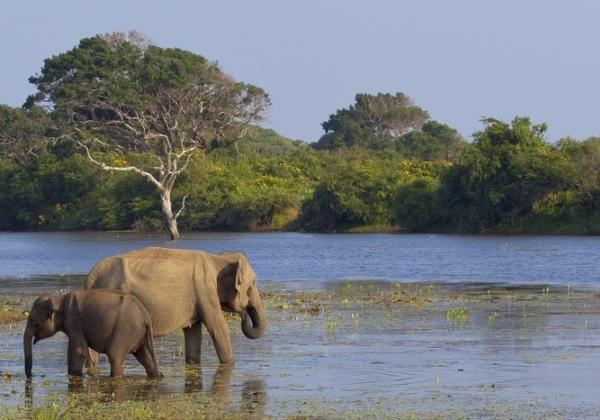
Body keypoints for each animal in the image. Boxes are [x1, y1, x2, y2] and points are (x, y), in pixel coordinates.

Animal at [24, 288, 159, 378]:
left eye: (33, 321)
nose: (32, 375)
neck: (59, 298)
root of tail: (146, 316)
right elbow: (71, 350)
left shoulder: (74, 320)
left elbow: (79, 351)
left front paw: (77, 375)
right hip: (140, 334)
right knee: (146, 358)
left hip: (126, 329)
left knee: (114, 354)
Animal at [83, 246, 266, 364]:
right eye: (253, 284)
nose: (244, 313)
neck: (217, 258)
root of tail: (90, 278)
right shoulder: (206, 290)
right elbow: (218, 328)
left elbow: (193, 333)